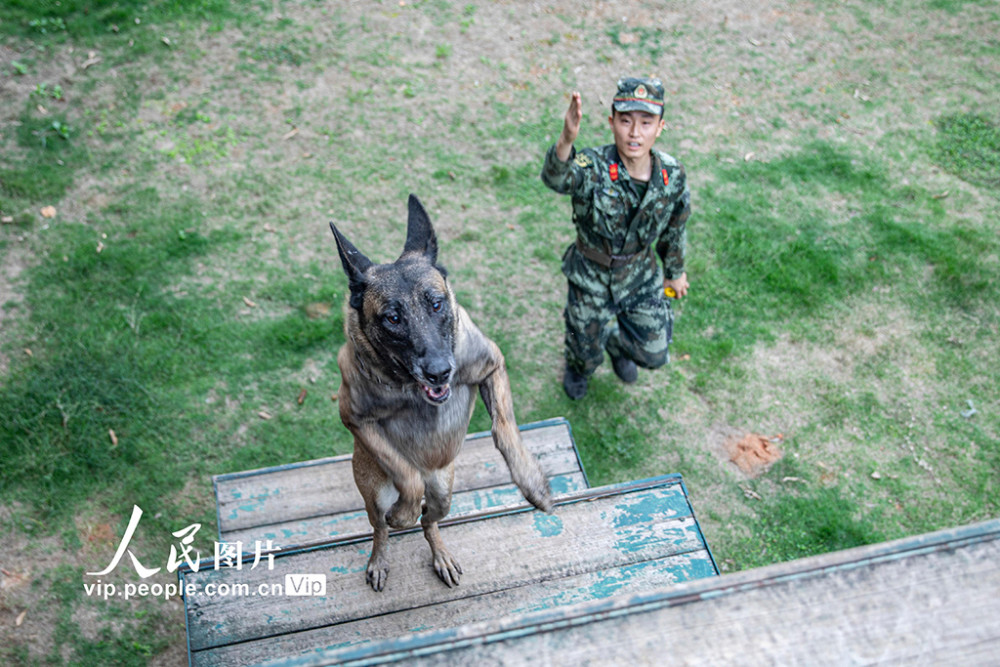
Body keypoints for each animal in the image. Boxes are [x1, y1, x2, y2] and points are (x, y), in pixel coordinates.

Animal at [330, 196, 556, 592]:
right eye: (392, 318)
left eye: (436, 304)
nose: (439, 371)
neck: (409, 388)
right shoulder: (354, 417)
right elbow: (407, 474)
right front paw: (403, 509)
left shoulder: (492, 365)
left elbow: (504, 429)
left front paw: (532, 481)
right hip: (374, 491)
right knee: (381, 526)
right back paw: (383, 552)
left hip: (445, 487)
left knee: (431, 519)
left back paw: (439, 551)